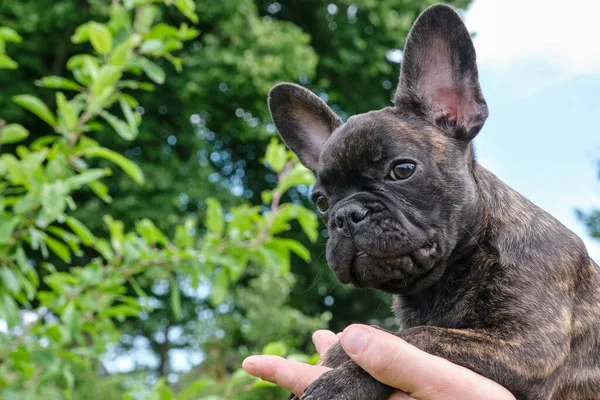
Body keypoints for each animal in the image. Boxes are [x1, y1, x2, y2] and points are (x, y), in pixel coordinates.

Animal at [268, 3, 600, 400]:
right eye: (320, 201)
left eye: (402, 170)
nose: (346, 215)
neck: (440, 280)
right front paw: (334, 357)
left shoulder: (528, 349)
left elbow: (420, 337)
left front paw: (342, 380)